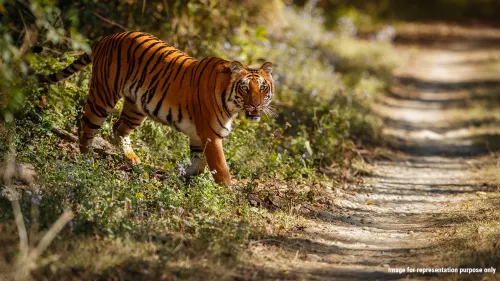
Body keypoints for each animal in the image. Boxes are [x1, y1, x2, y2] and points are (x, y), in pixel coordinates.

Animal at [37, 31, 276, 185]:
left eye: (263, 88)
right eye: (245, 88)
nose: (256, 104)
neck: (232, 106)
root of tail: (107, 37)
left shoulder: (198, 135)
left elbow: (198, 164)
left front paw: (183, 176)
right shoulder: (210, 134)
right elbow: (221, 168)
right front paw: (226, 192)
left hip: (136, 108)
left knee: (119, 127)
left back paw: (132, 159)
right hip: (103, 96)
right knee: (86, 127)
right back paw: (86, 161)